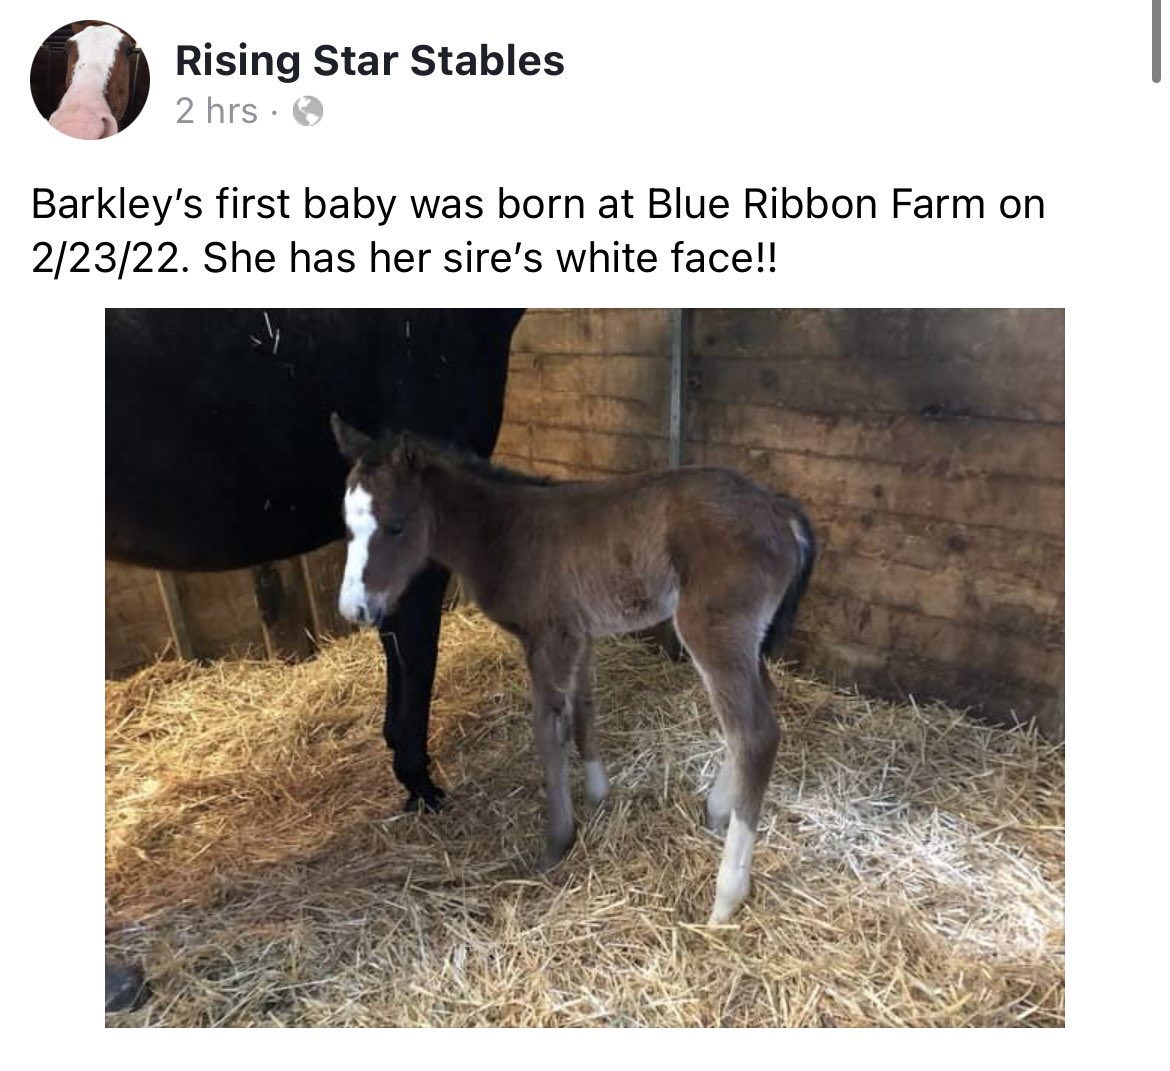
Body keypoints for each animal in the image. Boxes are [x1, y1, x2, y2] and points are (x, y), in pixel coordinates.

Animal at [329, 417, 816, 924]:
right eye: (346, 527)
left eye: (395, 525)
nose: (354, 610)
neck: (504, 534)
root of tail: (780, 510)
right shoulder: (579, 634)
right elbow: (584, 708)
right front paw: (598, 794)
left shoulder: (548, 638)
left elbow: (548, 733)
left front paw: (556, 843)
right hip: (748, 640)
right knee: (761, 707)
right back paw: (718, 807)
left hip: (713, 630)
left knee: (754, 734)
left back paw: (726, 897)